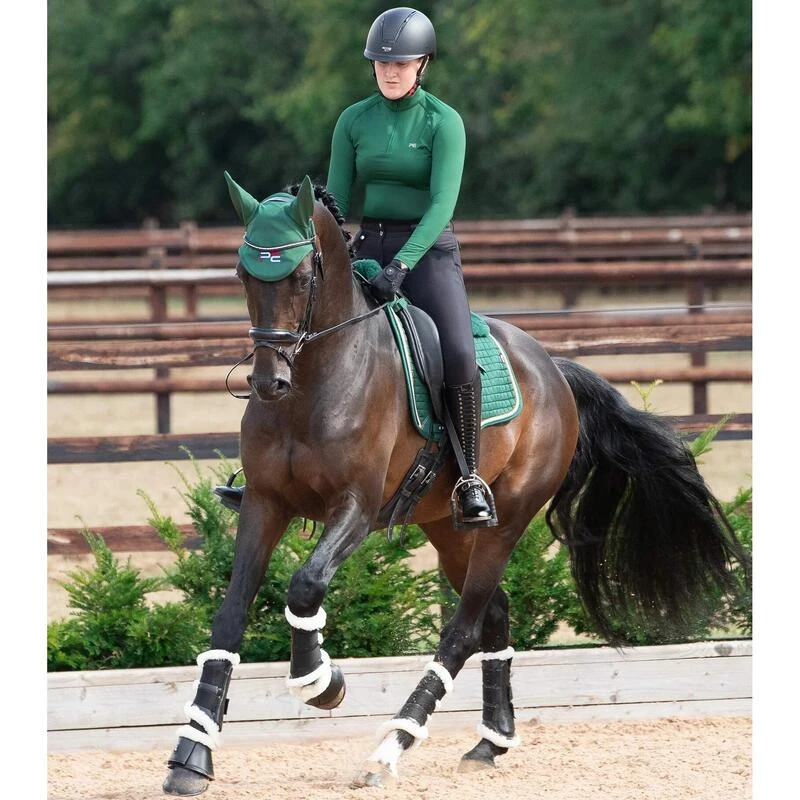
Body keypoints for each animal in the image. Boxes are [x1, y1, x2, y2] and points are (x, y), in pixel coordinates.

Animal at [162, 174, 749, 795]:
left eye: (300, 276)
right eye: (242, 274)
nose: (267, 382)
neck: (317, 380)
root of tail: (553, 369)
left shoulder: (356, 509)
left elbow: (305, 586)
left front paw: (321, 682)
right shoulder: (265, 504)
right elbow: (231, 614)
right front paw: (191, 757)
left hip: (504, 522)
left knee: (463, 629)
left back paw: (388, 750)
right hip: (447, 529)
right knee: (494, 611)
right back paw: (490, 742)